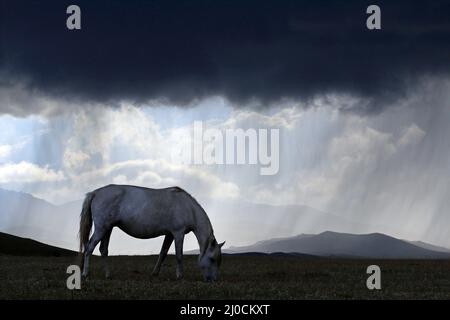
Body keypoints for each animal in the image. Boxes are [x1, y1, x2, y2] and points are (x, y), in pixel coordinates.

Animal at [79, 184, 225, 282]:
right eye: (212, 259)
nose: (213, 280)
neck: (188, 207)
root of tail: (95, 193)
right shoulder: (178, 233)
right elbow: (179, 256)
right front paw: (180, 276)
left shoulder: (169, 234)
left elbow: (163, 253)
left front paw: (155, 273)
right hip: (101, 228)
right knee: (89, 248)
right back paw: (85, 274)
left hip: (107, 228)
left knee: (103, 250)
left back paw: (108, 275)